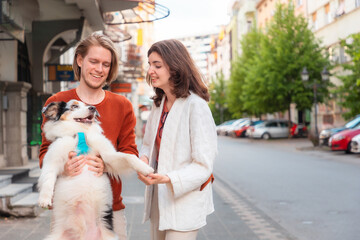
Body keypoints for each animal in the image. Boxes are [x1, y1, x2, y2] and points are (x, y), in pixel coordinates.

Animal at [38, 98, 153, 239]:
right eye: (74, 106)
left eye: (88, 105)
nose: (93, 108)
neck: (80, 133)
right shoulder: (52, 161)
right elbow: (47, 179)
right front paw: (44, 199)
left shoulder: (109, 156)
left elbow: (129, 156)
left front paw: (145, 168)